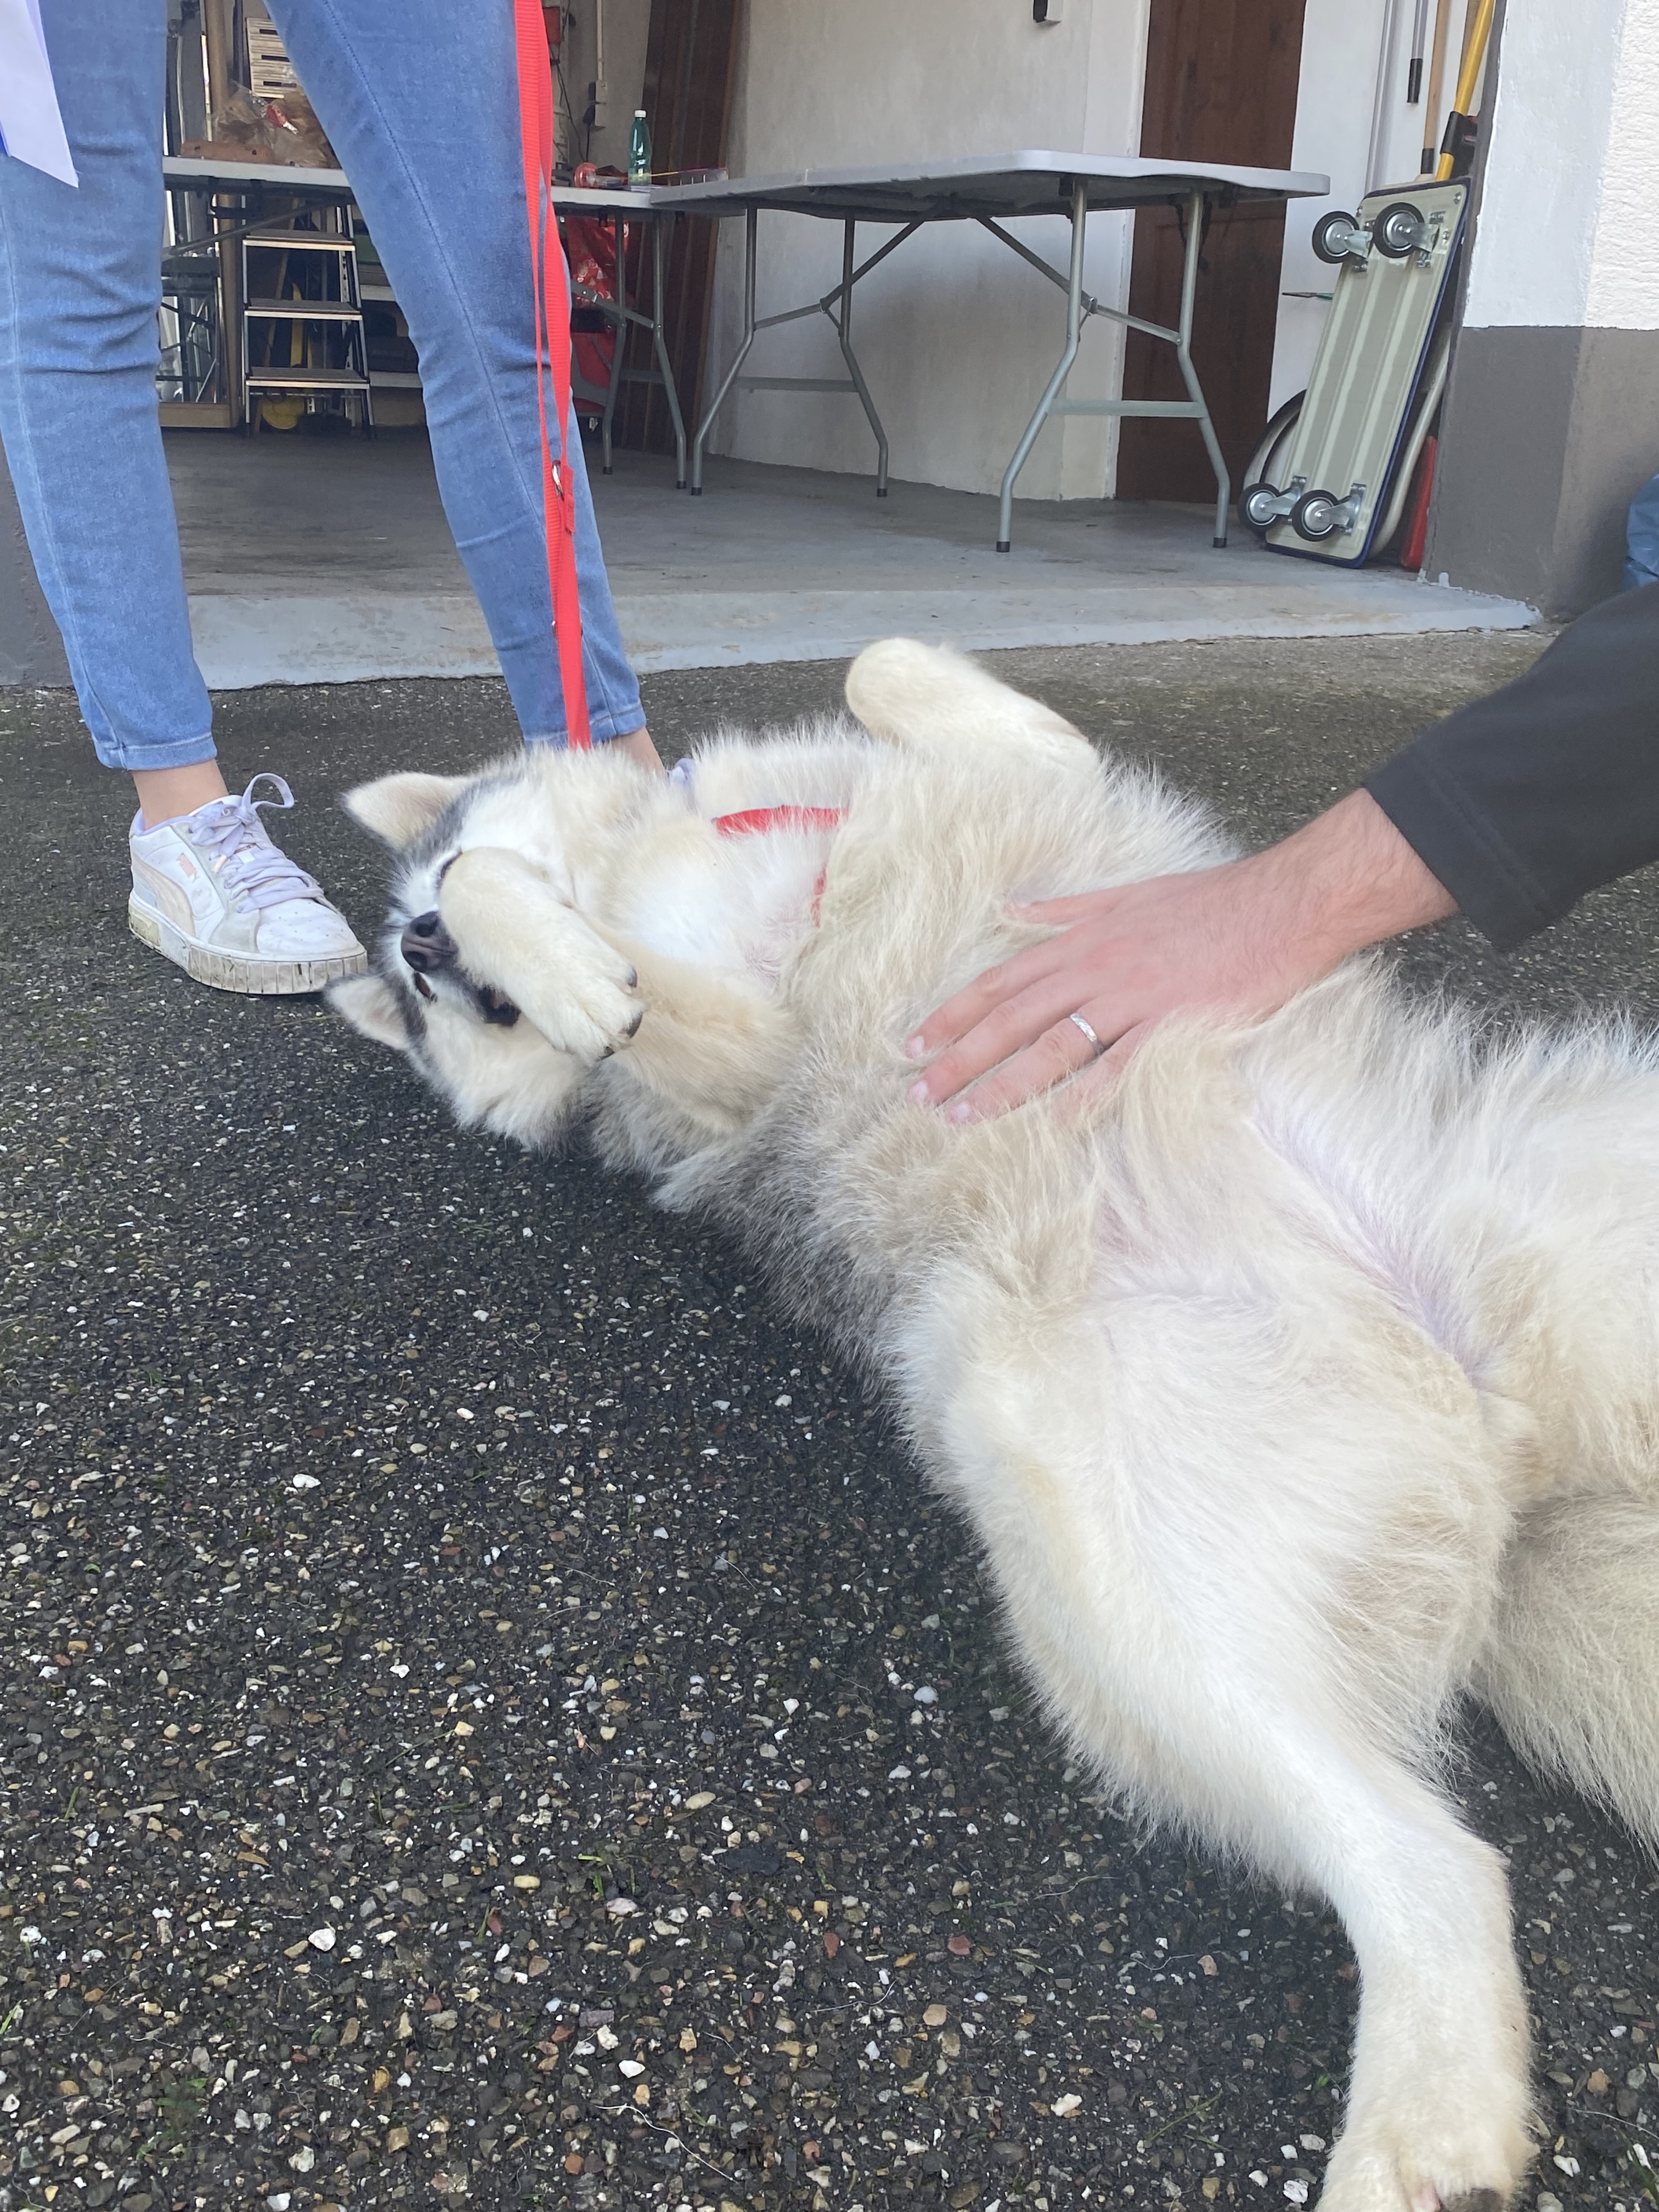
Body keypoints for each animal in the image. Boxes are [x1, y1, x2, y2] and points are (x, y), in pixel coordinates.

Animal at [329, 640, 1659, 2212]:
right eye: (442, 1005)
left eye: (427, 897)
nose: (421, 950)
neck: (650, 854)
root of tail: (1495, 1426)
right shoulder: (744, 1066)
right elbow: (650, 1012)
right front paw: (582, 978)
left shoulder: (1012, 777)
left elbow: (891, 672)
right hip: (1109, 1560)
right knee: (1428, 1864)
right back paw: (1420, 2125)